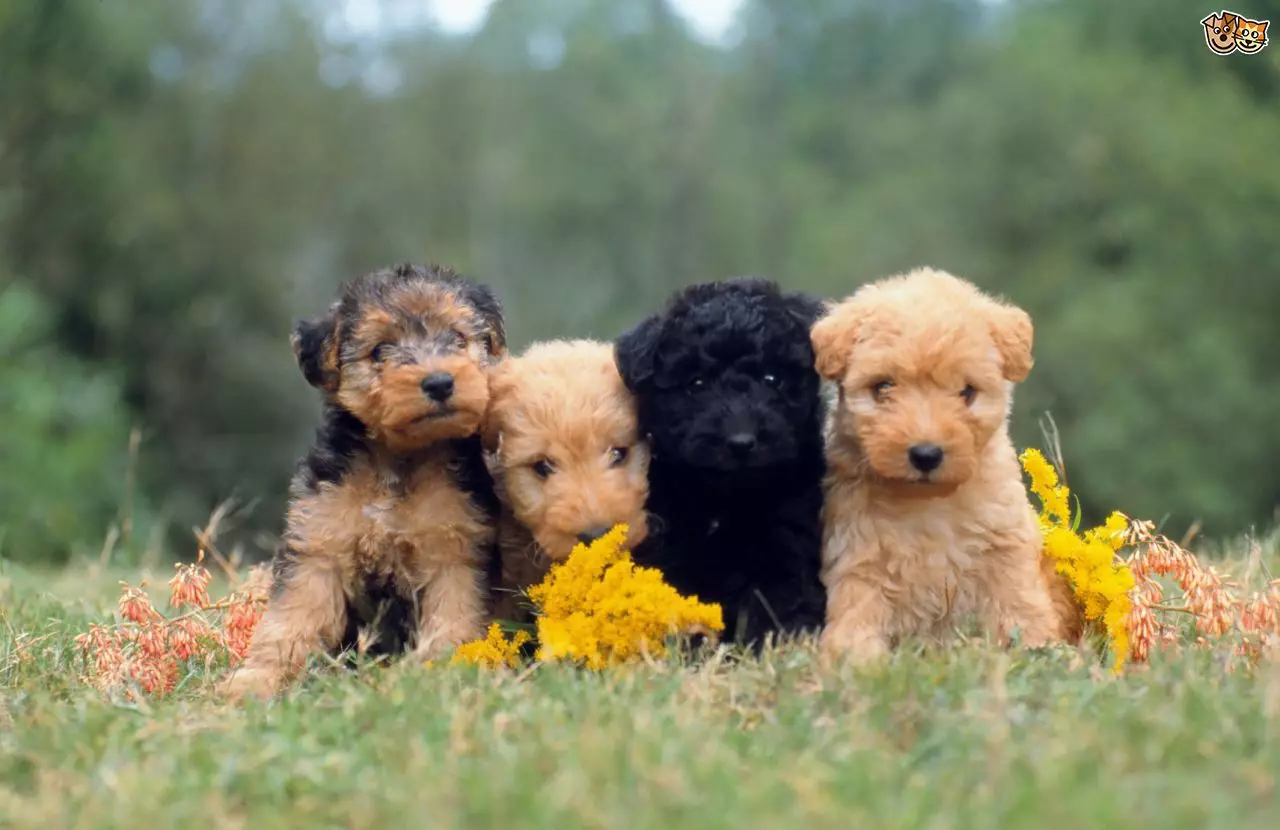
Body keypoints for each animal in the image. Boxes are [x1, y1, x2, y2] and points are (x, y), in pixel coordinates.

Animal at [220, 262, 504, 696]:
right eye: (380, 350)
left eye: (458, 338)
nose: (439, 382)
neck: (400, 459)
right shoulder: (319, 545)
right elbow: (291, 619)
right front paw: (257, 679)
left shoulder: (455, 552)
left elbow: (452, 620)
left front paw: (437, 674)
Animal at [611, 279, 829, 648]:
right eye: (696, 384)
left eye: (772, 379)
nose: (741, 442)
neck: (726, 499)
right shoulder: (668, 542)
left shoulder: (786, 537)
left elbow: (780, 596)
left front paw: (779, 642)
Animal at [814, 266, 1075, 660]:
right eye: (883, 387)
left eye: (966, 391)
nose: (925, 454)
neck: (928, 504)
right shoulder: (857, 557)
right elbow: (855, 620)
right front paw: (857, 662)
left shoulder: (1005, 545)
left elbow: (1019, 605)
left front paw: (1042, 652)